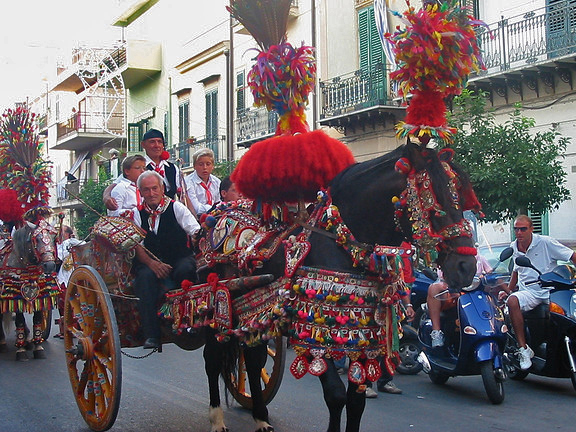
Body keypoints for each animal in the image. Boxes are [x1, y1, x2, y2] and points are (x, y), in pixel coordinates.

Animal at [202, 143, 476, 432]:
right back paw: (217, 418)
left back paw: (261, 417)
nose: (467, 267)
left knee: (253, 362)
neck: (346, 245)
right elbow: (335, 395)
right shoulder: (313, 332)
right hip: (216, 309)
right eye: (435, 204)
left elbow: (356, 400)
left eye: (461, 197)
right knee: (212, 360)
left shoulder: (364, 333)